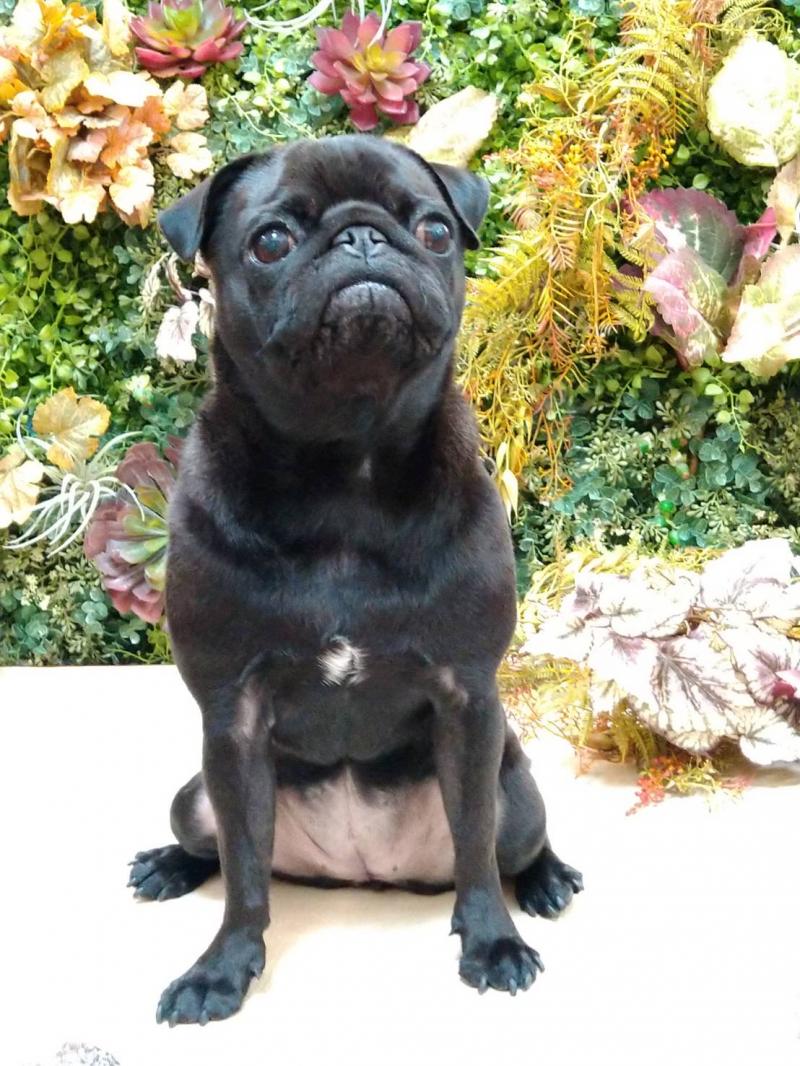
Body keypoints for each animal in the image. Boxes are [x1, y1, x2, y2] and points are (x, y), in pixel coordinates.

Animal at [128, 134, 583, 1025]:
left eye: (435, 228)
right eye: (271, 241)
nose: (363, 236)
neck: (344, 469)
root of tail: (361, 869)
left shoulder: (468, 696)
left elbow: (476, 854)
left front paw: (492, 942)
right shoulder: (231, 715)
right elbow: (245, 873)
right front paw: (222, 968)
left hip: (518, 793)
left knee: (510, 840)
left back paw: (548, 880)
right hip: (193, 796)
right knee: (222, 846)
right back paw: (169, 864)